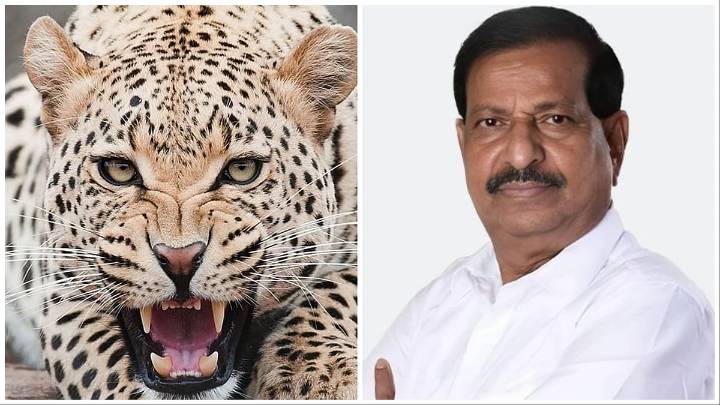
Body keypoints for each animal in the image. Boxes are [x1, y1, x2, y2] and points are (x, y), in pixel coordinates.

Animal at [5, 5, 357, 400]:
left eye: (242, 170)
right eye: (119, 170)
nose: (180, 260)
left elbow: (336, 294)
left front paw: (318, 376)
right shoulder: (62, 296)